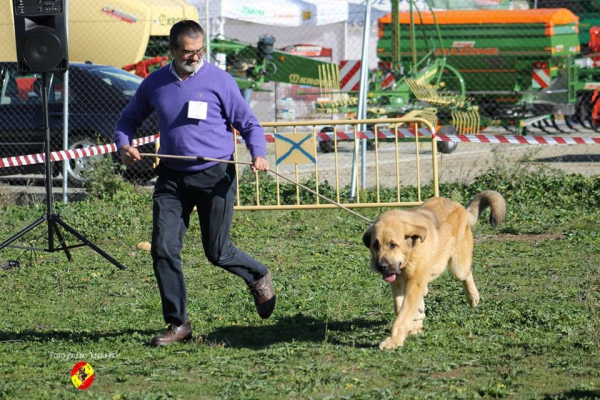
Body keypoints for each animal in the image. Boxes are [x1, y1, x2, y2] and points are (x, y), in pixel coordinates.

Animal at [360, 189, 506, 348]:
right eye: (375, 245)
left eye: (393, 245)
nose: (381, 266)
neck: (410, 252)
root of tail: (460, 207)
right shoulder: (397, 282)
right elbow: (400, 308)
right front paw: (415, 323)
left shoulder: (414, 283)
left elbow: (403, 315)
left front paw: (394, 341)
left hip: (458, 267)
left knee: (466, 274)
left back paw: (473, 297)